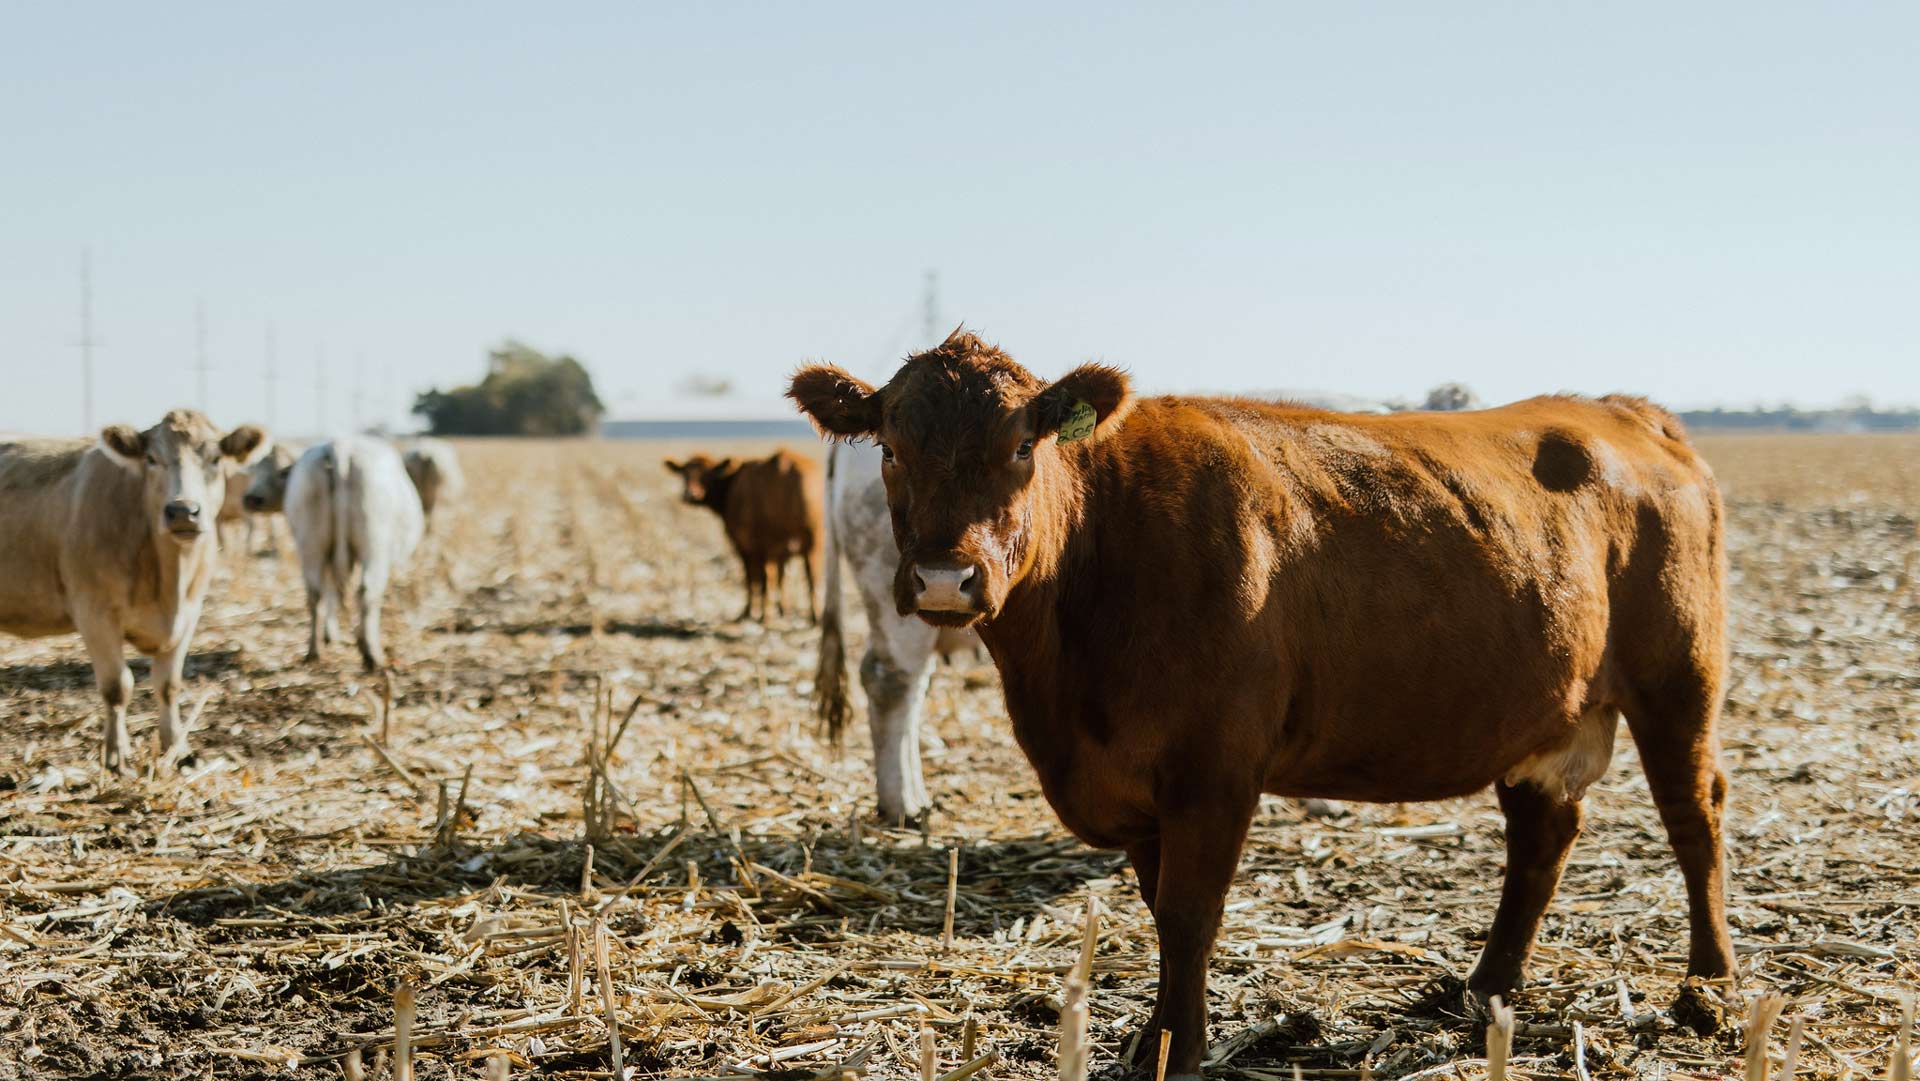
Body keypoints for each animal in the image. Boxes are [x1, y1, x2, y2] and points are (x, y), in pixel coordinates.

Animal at [0, 410, 272, 775]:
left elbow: (168, 685)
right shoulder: (94, 614)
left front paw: (177, 749)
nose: (183, 510)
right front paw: (117, 757)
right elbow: (118, 686)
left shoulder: (189, 615)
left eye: (215, 459)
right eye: (151, 459)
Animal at [280, 437, 422, 668]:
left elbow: (331, 592)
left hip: (311, 543)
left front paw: (331, 635)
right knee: (367, 592)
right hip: (374, 544)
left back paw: (315, 651)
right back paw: (373, 655)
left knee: (315, 594)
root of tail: (340, 446)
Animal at [668, 451, 825, 622]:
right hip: (812, 542)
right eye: (684, 473)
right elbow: (781, 577)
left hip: (769, 544)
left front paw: (747, 612)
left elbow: (751, 578)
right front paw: (783, 610)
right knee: (812, 576)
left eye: (707, 474)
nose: (690, 495)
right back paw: (815, 615)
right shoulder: (780, 552)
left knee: (767, 577)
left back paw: (766, 615)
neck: (729, 483)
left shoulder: (743, 546)